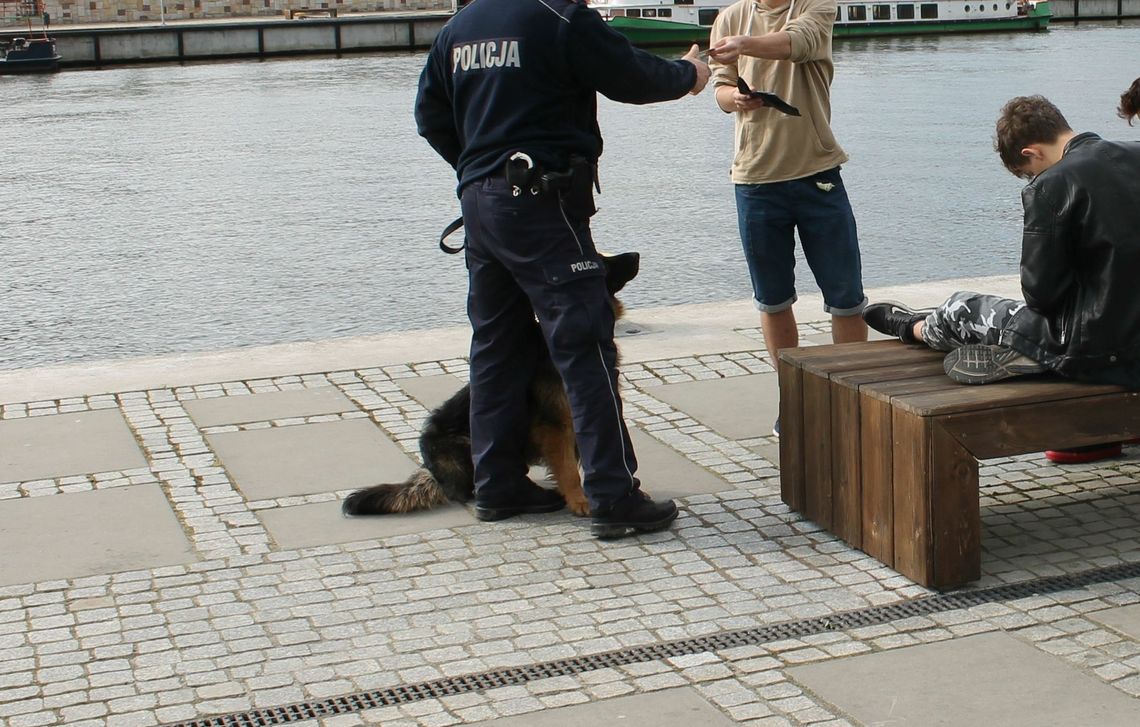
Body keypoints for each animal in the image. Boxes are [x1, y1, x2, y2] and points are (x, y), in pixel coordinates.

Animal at [337, 252, 642, 521]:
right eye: (602, 263)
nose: (636, 255)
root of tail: (432, 471)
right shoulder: (556, 425)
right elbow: (567, 468)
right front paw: (579, 500)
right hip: (466, 444)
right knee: (468, 488)